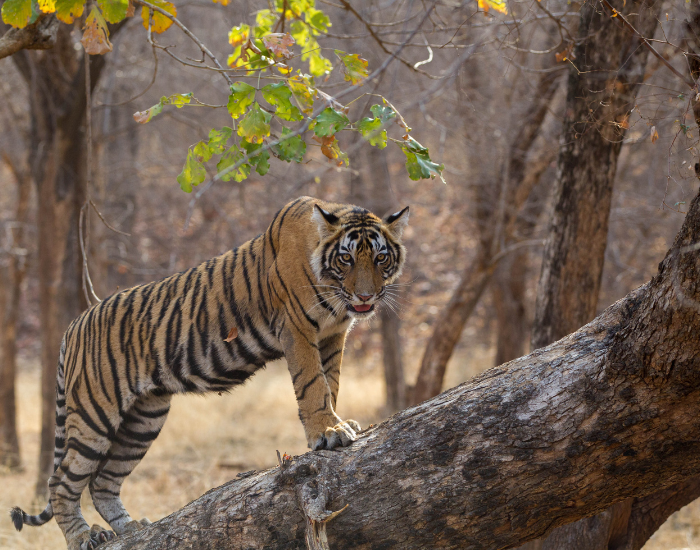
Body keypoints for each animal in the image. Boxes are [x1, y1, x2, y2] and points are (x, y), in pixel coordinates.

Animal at [9, 196, 409, 550]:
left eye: (380, 258)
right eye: (345, 258)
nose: (365, 297)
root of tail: (74, 325)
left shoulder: (333, 335)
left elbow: (331, 382)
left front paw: (337, 424)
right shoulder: (298, 329)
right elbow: (313, 384)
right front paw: (328, 432)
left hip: (143, 420)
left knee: (104, 482)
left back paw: (131, 529)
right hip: (96, 414)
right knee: (61, 482)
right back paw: (83, 537)